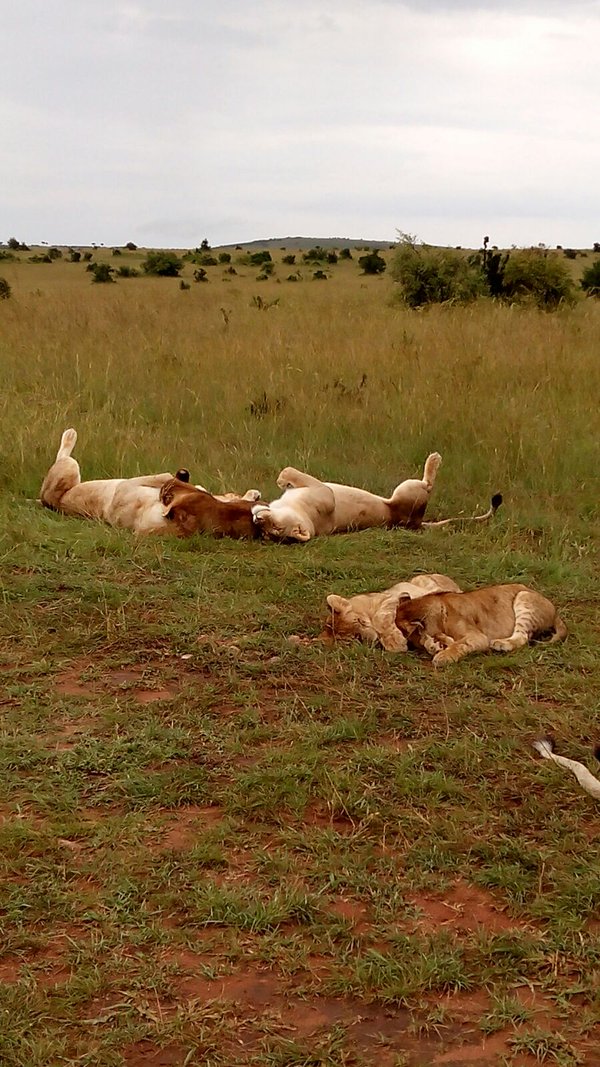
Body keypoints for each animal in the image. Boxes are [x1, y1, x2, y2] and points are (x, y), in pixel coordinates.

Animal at [323, 573, 462, 649]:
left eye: (360, 621)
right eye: (357, 637)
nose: (371, 635)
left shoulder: (391, 599)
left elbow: (380, 618)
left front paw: (396, 642)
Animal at [392, 584, 567, 666]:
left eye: (412, 642)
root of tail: (556, 611)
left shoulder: (478, 637)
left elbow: (460, 644)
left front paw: (442, 656)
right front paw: (436, 645)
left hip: (524, 597)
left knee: (523, 637)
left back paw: (500, 644)